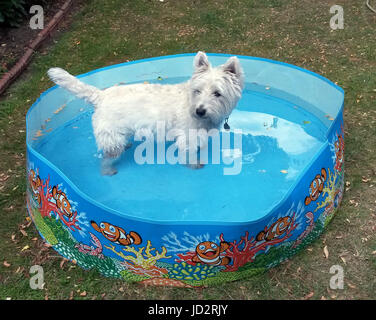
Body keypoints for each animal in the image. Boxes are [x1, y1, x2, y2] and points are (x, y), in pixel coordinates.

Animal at [47, 51, 244, 175]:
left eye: (217, 93)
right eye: (198, 90)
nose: (200, 111)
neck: (190, 103)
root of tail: (100, 96)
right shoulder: (186, 138)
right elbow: (188, 155)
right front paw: (194, 165)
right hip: (111, 138)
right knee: (106, 158)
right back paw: (108, 171)